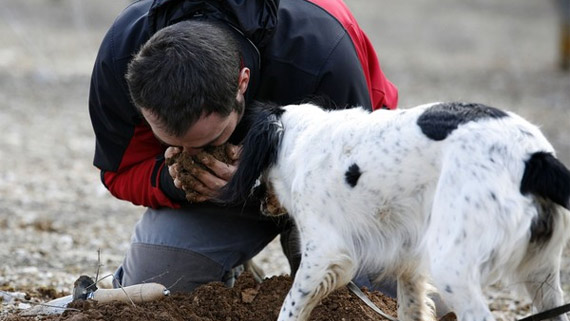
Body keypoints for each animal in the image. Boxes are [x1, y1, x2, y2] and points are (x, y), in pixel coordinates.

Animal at [219, 102, 568, 320]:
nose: (257, 199)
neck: (302, 139)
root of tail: (534, 157)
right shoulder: (408, 261)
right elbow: (411, 309)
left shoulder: (324, 253)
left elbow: (291, 305)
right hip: (542, 278)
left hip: (452, 266)